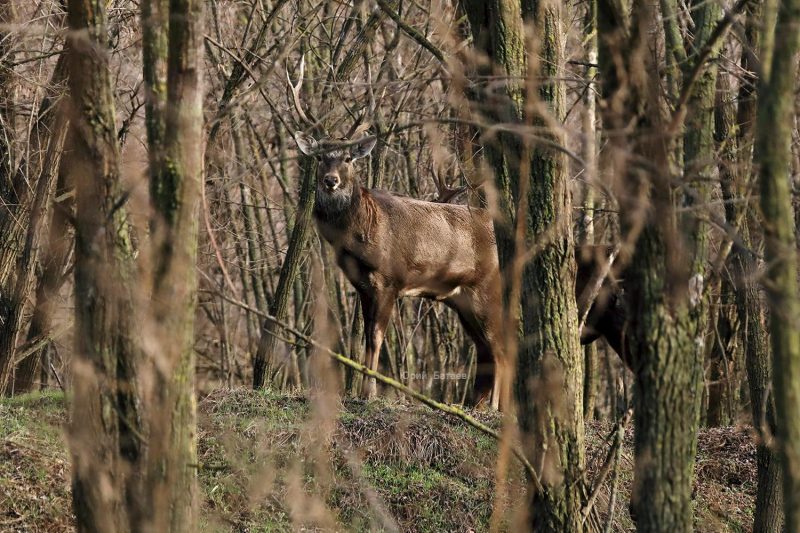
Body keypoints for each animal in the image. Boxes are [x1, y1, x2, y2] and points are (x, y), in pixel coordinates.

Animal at [284, 57, 628, 408]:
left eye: (349, 159)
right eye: (320, 157)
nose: (331, 181)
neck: (362, 234)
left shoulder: (389, 279)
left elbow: (377, 339)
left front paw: (369, 393)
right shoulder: (364, 287)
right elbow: (367, 338)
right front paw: (360, 390)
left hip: (488, 289)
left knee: (501, 349)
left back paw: (494, 407)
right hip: (463, 302)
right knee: (490, 349)